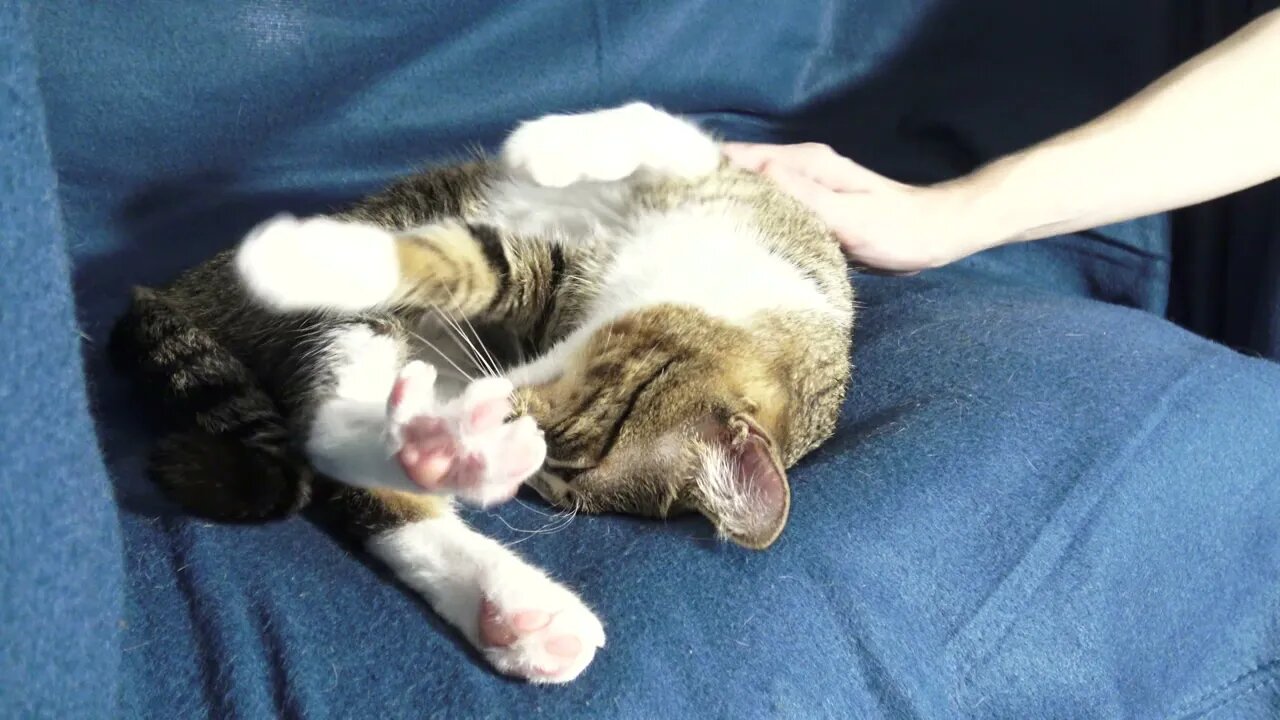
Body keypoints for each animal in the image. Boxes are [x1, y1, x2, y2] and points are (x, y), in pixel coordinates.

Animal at [110, 101, 849, 676]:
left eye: (553, 486)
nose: (491, 415)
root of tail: (177, 291)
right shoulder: (665, 204)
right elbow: (650, 131)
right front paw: (547, 146)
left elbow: (484, 270)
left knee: (339, 449)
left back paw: (507, 593)